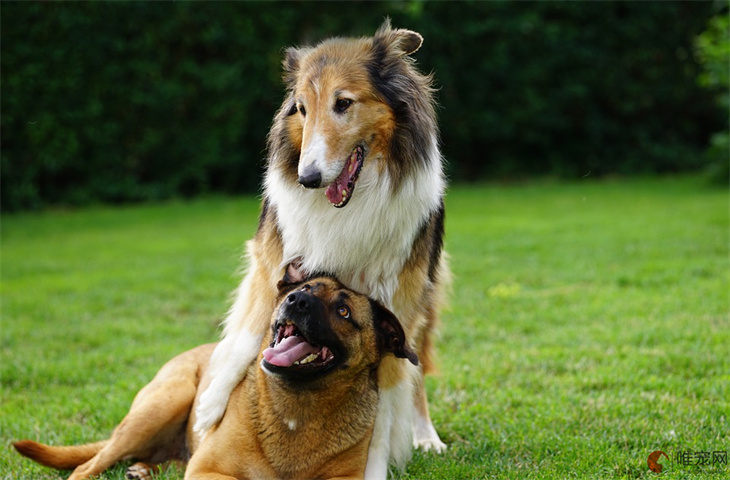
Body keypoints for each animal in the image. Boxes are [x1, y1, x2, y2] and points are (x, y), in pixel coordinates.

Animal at [14, 278, 416, 480]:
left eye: (344, 310)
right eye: (303, 289)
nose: (295, 300)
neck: (296, 408)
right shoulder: (210, 471)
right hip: (163, 403)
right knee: (86, 467)